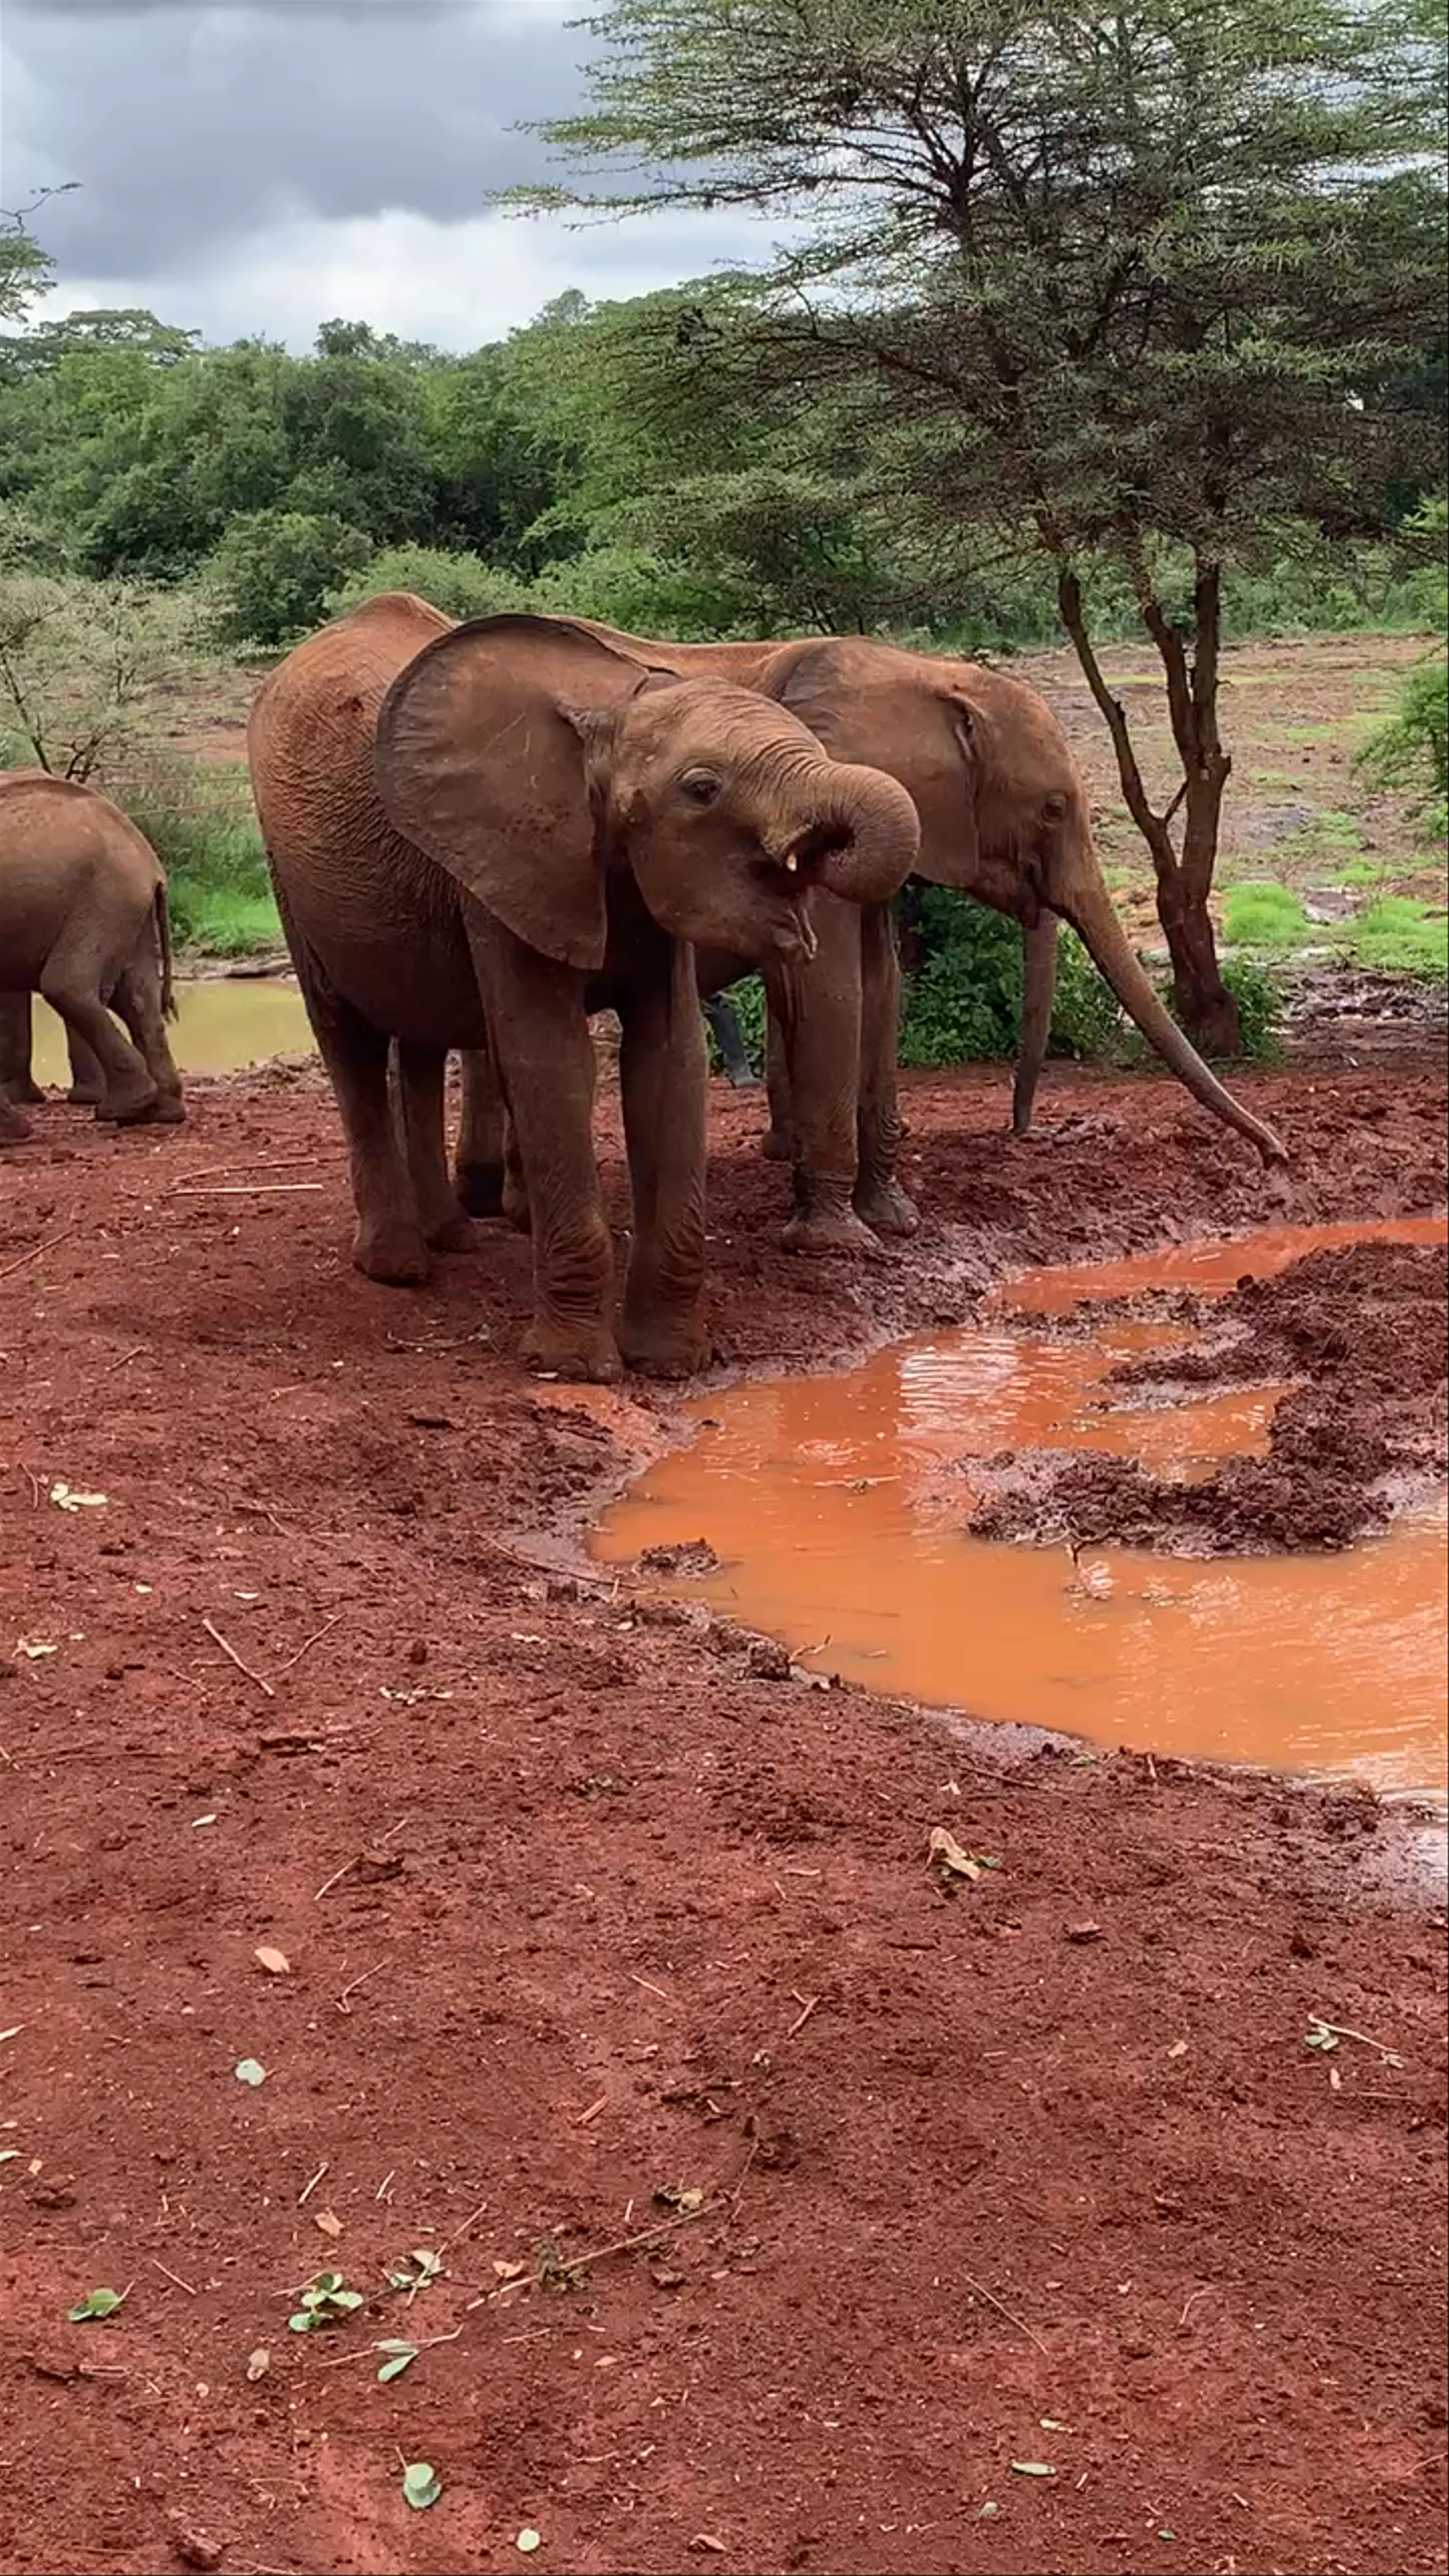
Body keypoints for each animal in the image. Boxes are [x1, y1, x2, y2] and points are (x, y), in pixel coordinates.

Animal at [0, 771, 183, 1129]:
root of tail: (153, 866)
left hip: (105, 898)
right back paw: (160, 1113)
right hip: (128, 909)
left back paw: (121, 1109)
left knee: (68, 985)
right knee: (138, 999)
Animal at [247, 595, 920, 1381]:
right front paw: (574, 1365)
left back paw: (453, 1237)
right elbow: (554, 1062)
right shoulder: (509, 855)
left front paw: (670, 1362)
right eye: (702, 789)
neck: (613, 711)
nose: (816, 851)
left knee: (418, 1042)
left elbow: (670, 1060)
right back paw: (398, 1267)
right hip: (291, 879)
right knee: (348, 1038)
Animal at [456, 628, 1284, 1251]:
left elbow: (882, 988)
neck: (925, 674)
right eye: (1053, 809)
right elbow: (834, 986)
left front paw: (893, 1218)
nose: (1276, 1158)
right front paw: (837, 1240)